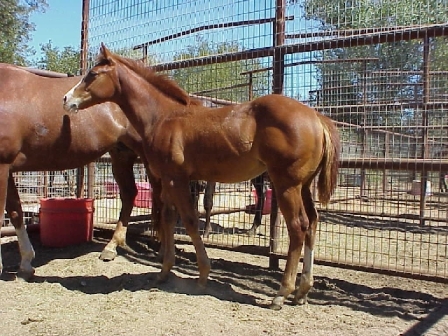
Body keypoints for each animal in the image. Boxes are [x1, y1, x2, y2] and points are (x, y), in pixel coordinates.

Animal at [0, 62, 161, 278]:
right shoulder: (7, 169)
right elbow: (15, 211)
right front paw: (26, 263)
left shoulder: (2, 166)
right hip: (121, 154)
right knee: (129, 194)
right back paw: (111, 248)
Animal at [63, 44, 340, 310]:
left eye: (93, 74)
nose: (67, 99)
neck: (163, 117)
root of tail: (316, 117)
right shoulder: (168, 180)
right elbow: (168, 219)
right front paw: (164, 271)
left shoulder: (177, 179)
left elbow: (189, 221)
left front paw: (203, 274)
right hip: (304, 186)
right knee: (313, 223)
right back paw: (303, 291)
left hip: (286, 185)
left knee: (298, 227)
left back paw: (281, 294)